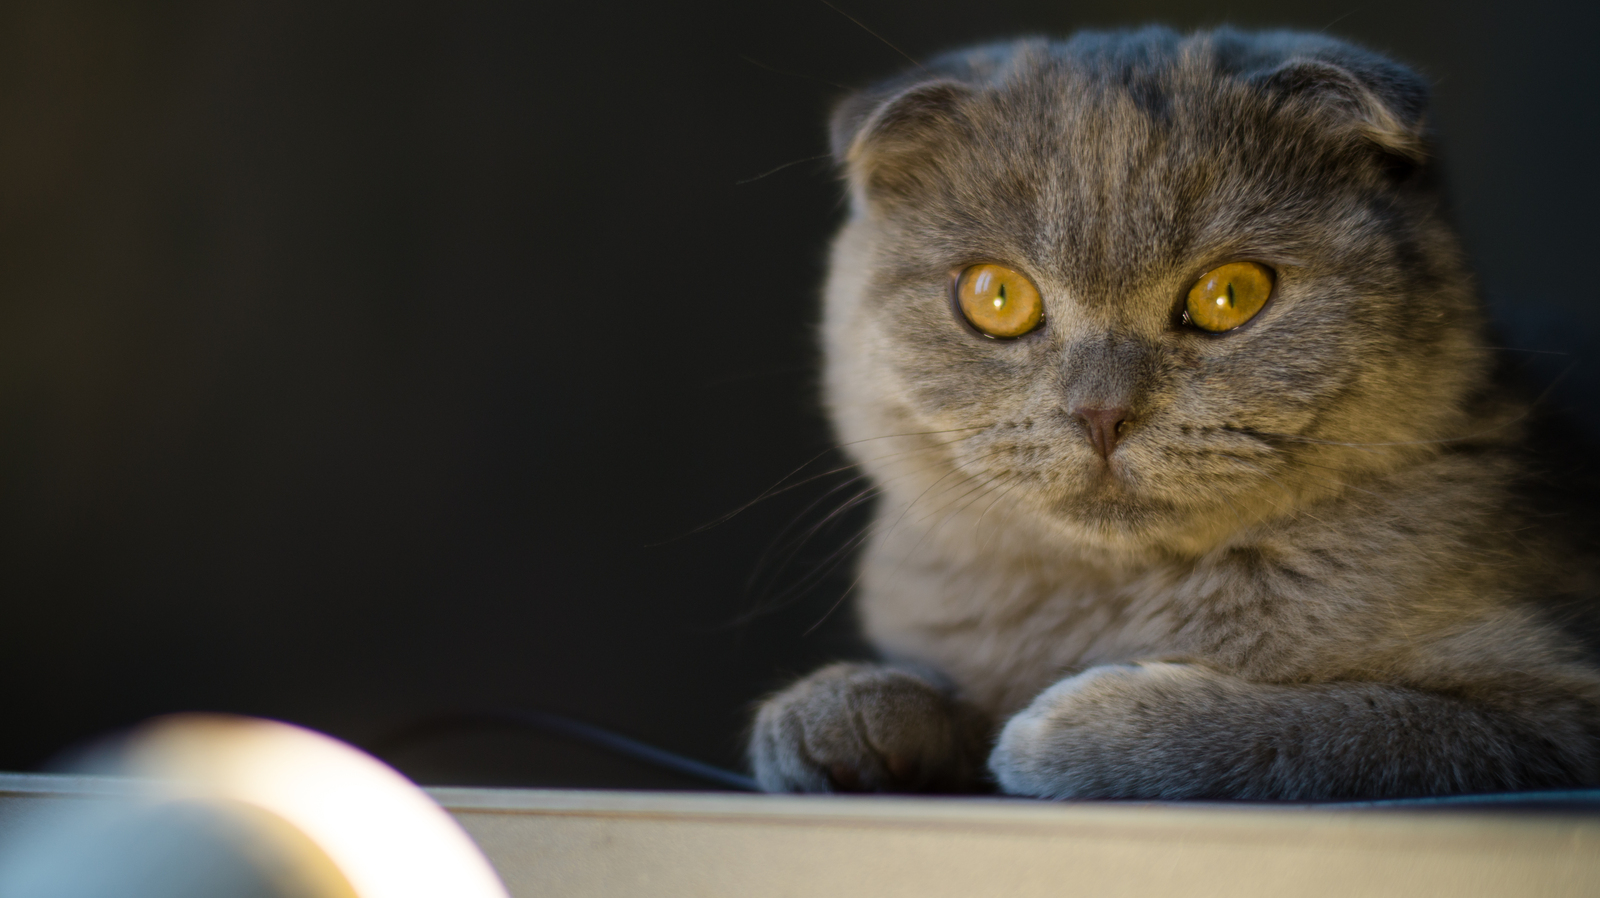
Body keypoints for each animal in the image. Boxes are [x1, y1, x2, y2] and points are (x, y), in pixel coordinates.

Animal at [742, 26, 1600, 797]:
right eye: (996, 295)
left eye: (1231, 294)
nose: (1100, 411)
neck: (1111, 597)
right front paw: (836, 710)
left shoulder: (1558, 710)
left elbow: (1334, 726)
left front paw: (1061, 728)